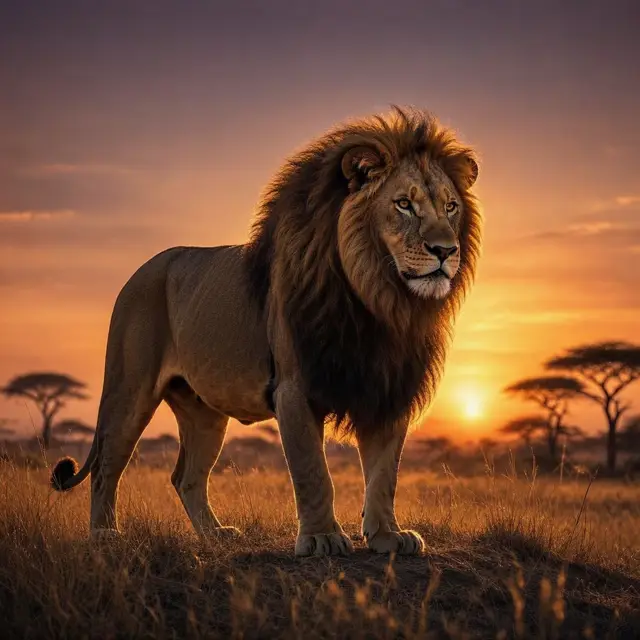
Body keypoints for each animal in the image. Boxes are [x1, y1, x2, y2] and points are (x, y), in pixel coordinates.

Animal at [51, 107, 481, 556]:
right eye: (404, 204)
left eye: (451, 206)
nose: (446, 251)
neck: (381, 302)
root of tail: (139, 271)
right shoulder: (294, 388)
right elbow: (313, 471)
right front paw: (322, 538)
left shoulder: (387, 389)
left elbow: (384, 474)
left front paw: (387, 536)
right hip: (129, 391)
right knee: (106, 467)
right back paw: (105, 534)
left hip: (203, 411)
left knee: (185, 476)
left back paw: (215, 535)